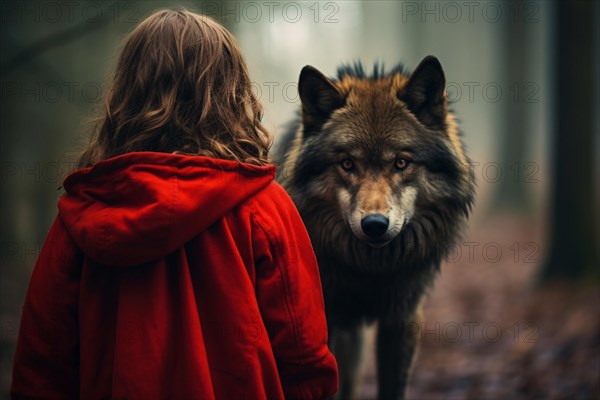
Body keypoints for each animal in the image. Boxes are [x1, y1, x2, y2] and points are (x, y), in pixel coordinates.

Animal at [274, 54, 476, 398]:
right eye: (347, 164)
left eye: (401, 163)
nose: (375, 225)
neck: (369, 270)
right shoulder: (324, 322)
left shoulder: (402, 318)